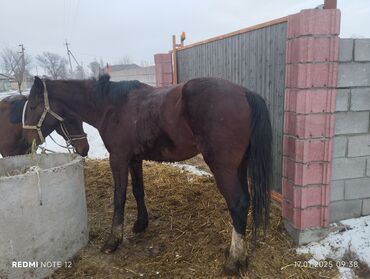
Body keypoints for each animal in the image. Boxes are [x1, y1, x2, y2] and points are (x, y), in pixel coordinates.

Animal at [22, 75, 272, 276]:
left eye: (33, 105)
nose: (26, 142)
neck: (112, 106)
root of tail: (245, 93)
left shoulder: (118, 158)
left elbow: (119, 197)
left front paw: (113, 240)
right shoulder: (135, 158)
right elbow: (137, 191)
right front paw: (141, 223)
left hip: (224, 168)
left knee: (238, 204)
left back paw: (233, 261)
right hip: (239, 167)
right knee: (246, 202)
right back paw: (240, 256)